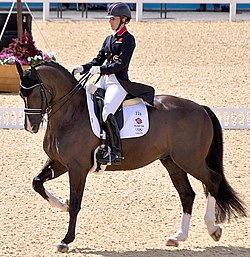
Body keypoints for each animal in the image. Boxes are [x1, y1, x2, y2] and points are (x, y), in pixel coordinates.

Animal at [15, 61, 246, 252]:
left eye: (35, 93)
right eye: (21, 94)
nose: (30, 127)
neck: (70, 113)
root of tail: (201, 108)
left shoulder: (77, 167)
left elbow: (76, 204)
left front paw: (65, 240)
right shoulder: (60, 163)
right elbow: (37, 183)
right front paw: (62, 204)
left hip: (190, 160)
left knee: (213, 179)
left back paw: (213, 229)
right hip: (172, 162)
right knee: (187, 194)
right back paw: (178, 236)